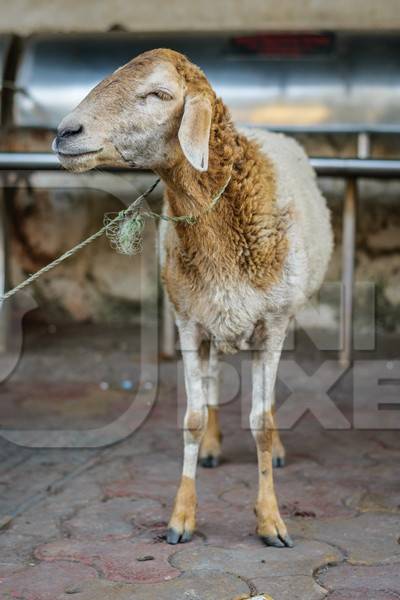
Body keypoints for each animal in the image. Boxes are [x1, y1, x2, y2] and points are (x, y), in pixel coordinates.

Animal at [53, 49, 334, 552]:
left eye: (159, 93)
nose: (66, 132)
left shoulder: (272, 325)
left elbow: (261, 422)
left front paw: (271, 520)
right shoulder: (188, 322)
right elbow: (192, 418)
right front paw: (182, 516)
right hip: (211, 318)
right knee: (214, 375)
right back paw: (212, 447)